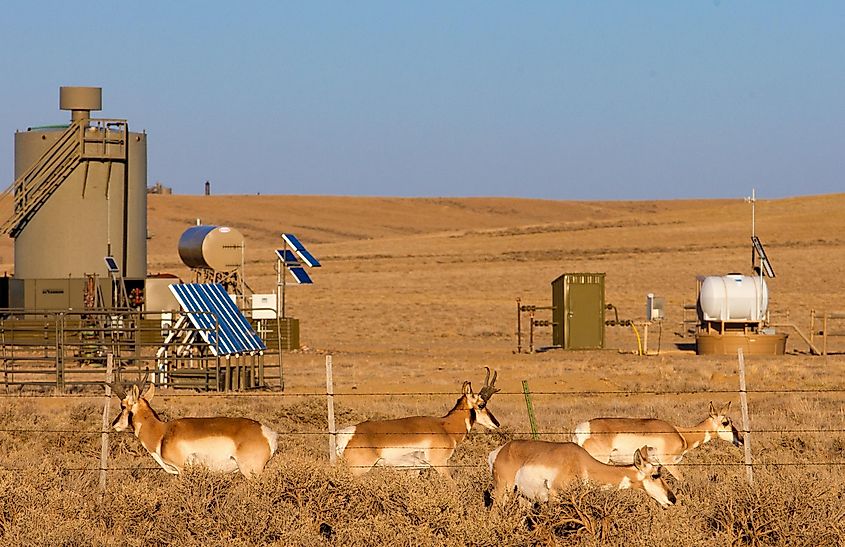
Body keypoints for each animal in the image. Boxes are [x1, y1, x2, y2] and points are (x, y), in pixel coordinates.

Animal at [488, 440, 672, 510]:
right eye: (655, 475)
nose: (673, 499)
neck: (582, 463)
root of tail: (501, 450)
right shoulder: (555, 498)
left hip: (524, 498)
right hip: (504, 491)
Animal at [572, 400, 740, 482]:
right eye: (725, 422)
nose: (741, 440)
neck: (679, 432)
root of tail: (582, 428)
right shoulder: (668, 463)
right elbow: (681, 479)